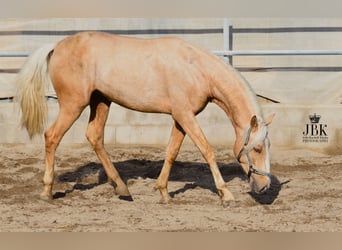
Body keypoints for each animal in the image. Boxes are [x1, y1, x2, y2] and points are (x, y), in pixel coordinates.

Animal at [16, 31, 274, 205]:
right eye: (257, 148)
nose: (264, 187)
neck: (195, 68)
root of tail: (57, 45)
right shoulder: (185, 115)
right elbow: (207, 150)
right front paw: (226, 194)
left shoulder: (180, 117)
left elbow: (171, 152)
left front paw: (163, 192)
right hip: (73, 104)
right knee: (52, 136)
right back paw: (47, 191)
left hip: (101, 101)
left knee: (94, 136)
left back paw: (122, 188)